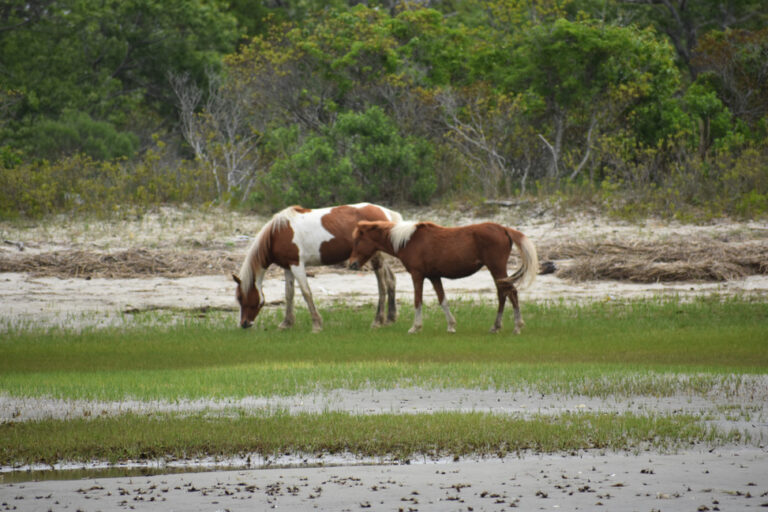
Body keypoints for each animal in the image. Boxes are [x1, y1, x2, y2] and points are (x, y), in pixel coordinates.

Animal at [232, 204, 402, 332]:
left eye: (240, 297)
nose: (244, 324)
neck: (278, 234)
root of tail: (385, 212)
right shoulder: (288, 267)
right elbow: (289, 294)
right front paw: (286, 323)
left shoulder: (297, 265)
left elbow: (306, 293)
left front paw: (316, 325)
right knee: (391, 280)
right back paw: (390, 318)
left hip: (376, 257)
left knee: (382, 284)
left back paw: (378, 320)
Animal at [348, 221, 536, 334]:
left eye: (357, 241)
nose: (352, 264)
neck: (408, 241)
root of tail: (504, 229)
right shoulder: (434, 277)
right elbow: (442, 300)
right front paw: (451, 325)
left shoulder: (417, 275)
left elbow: (417, 301)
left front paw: (415, 327)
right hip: (497, 272)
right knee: (503, 294)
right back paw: (496, 326)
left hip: (497, 269)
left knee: (511, 293)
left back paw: (517, 326)